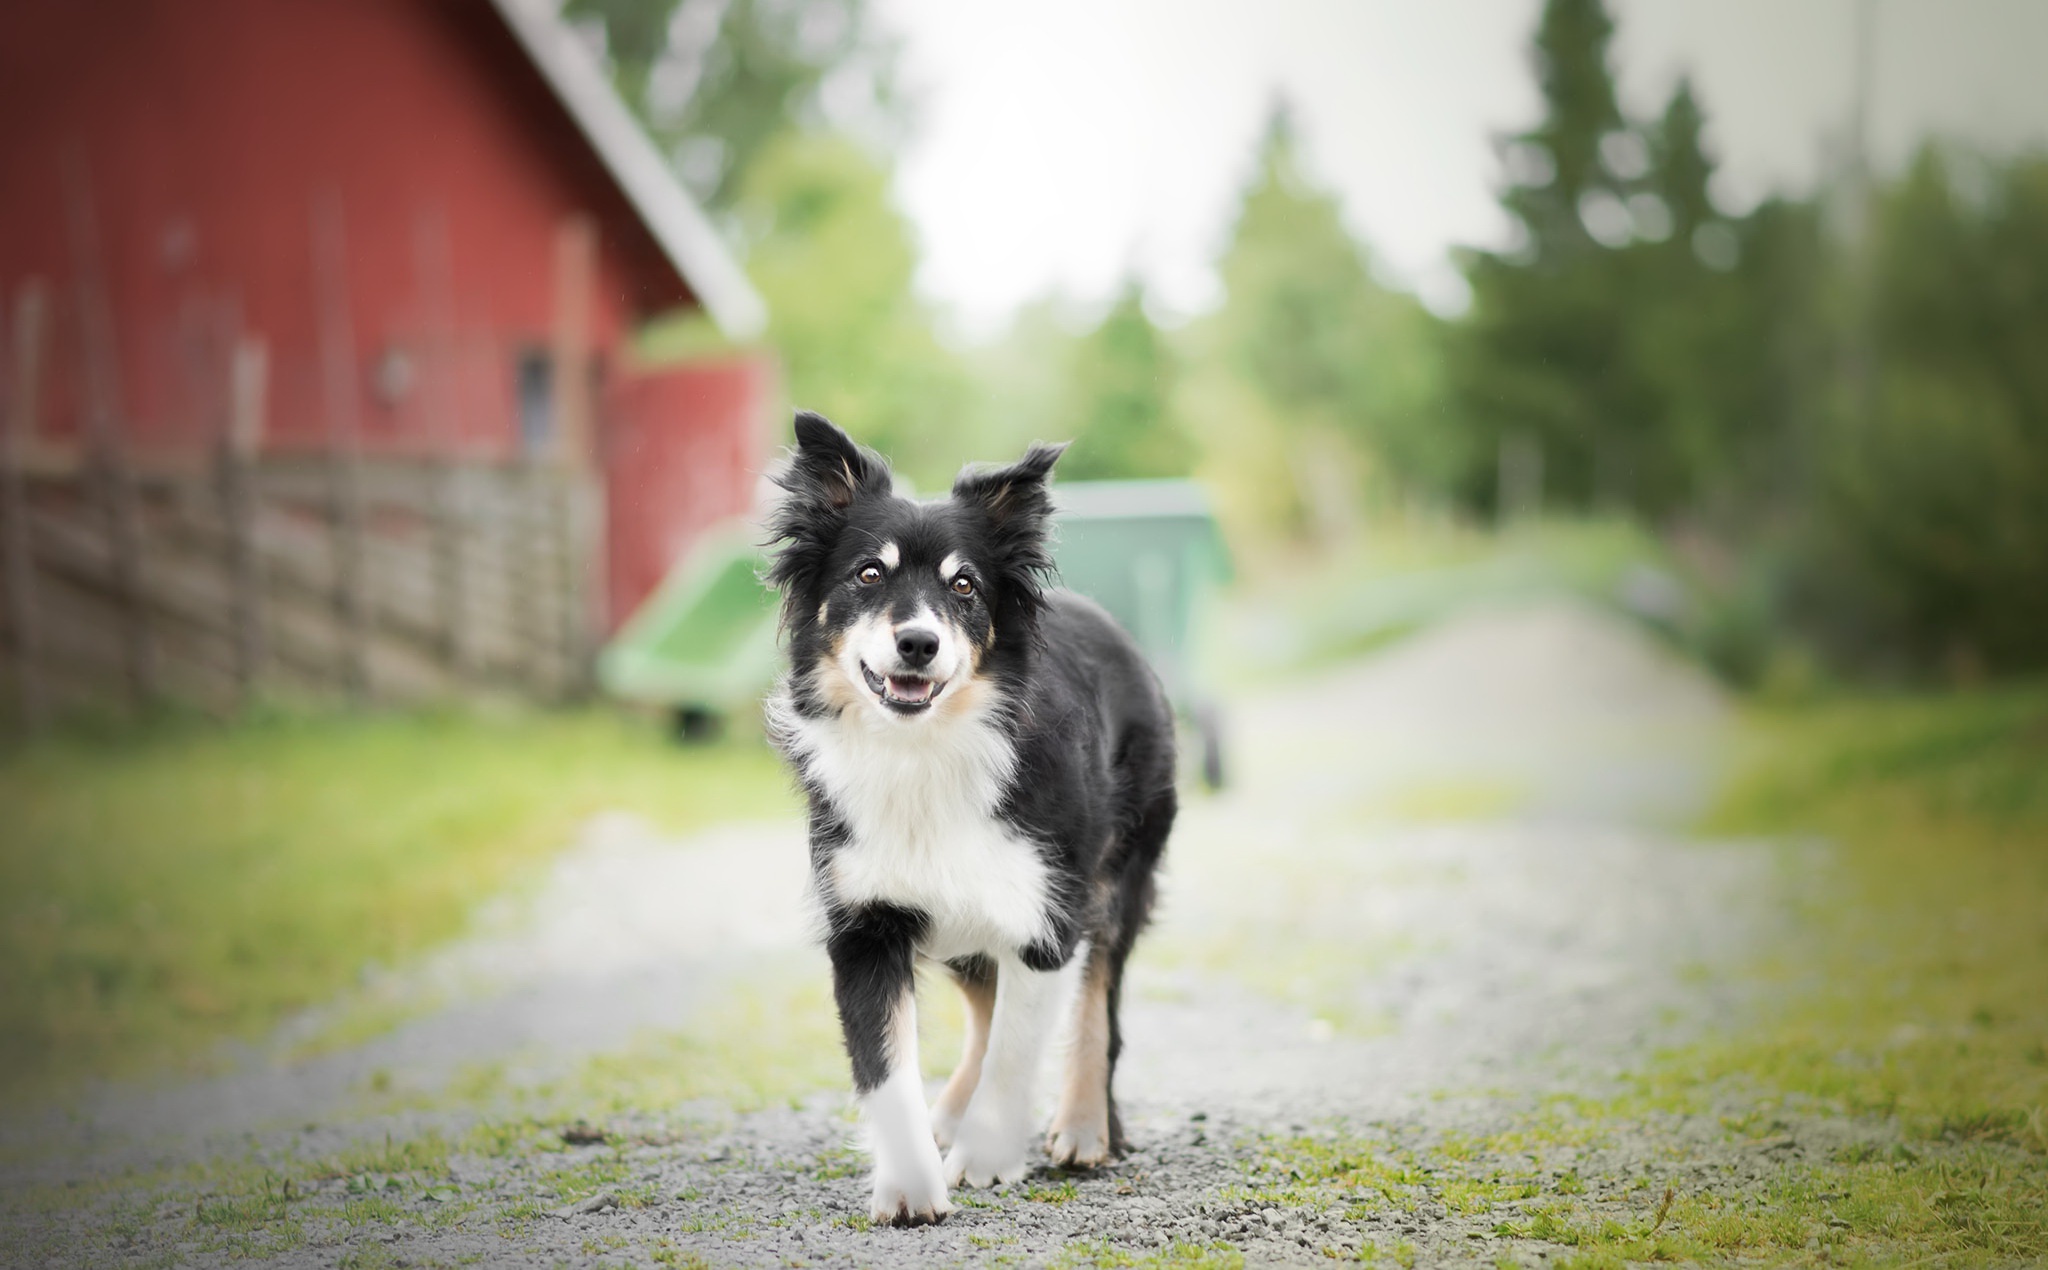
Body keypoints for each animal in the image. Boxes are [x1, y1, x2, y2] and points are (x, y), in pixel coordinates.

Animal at [765, 411, 1187, 1229]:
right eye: (868, 575)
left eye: (964, 586)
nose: (918, 643)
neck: (924, 748)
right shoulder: (865, 923)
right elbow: (885, 1066)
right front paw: (910, 1185)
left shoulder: (1046, 913)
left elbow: (1022, 1044)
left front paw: (989, 1156)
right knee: (986, 1003)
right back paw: (953, 1114)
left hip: (1117, 874)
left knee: (1096, 1004)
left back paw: (1083, 1126)